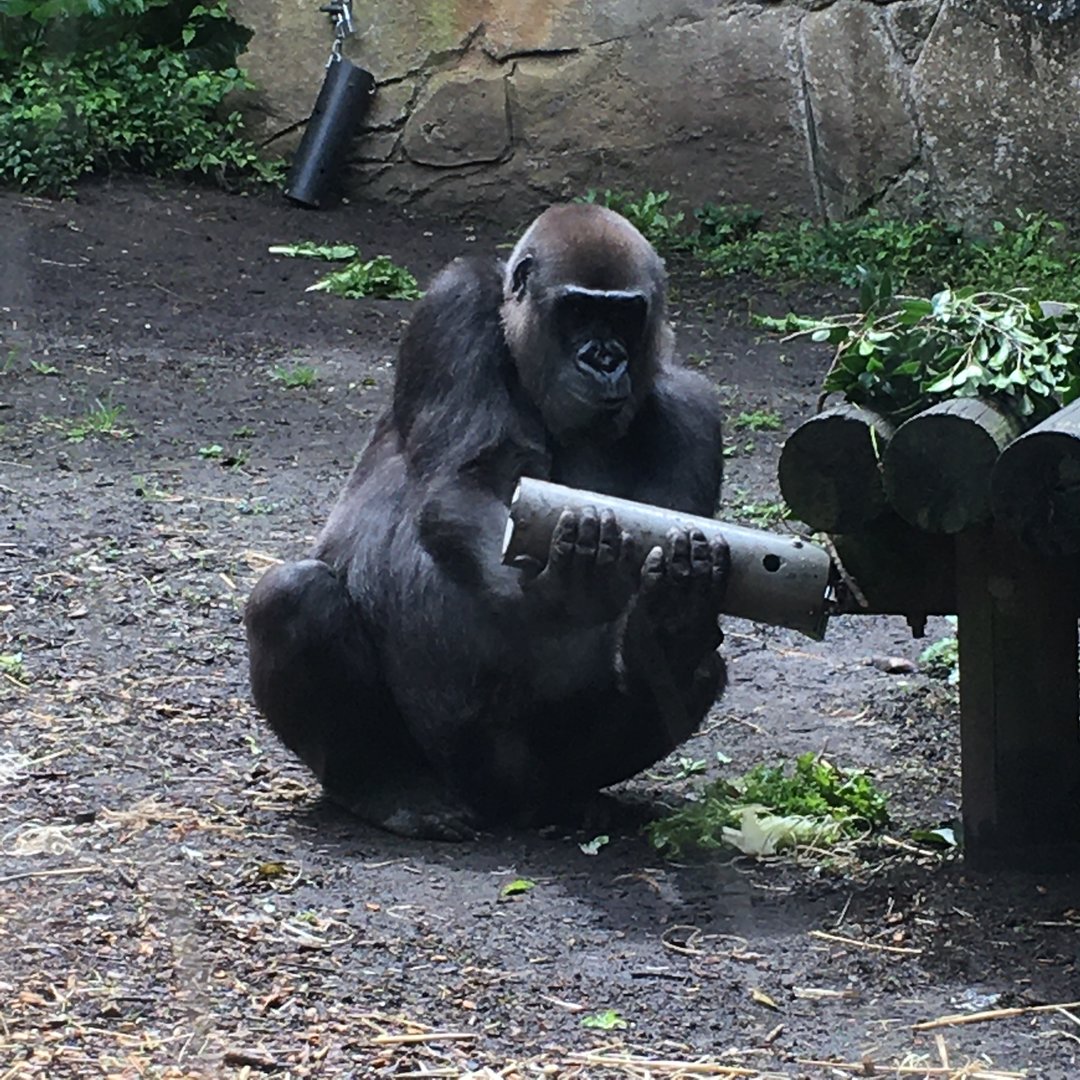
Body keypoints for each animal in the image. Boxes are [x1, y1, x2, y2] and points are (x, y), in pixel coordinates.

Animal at [244, 203, 729, 839]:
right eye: (578, 311)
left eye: (625, 315)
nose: (604, 360)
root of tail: (502, 806)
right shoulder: (458, 302)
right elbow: (466, 482)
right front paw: (561, 589)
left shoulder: (695, 408)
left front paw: (674, 612)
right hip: (442, 765)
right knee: (293, 595)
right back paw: (383, 786)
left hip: (532, 775)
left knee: (695, 671)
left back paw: (572, 793)